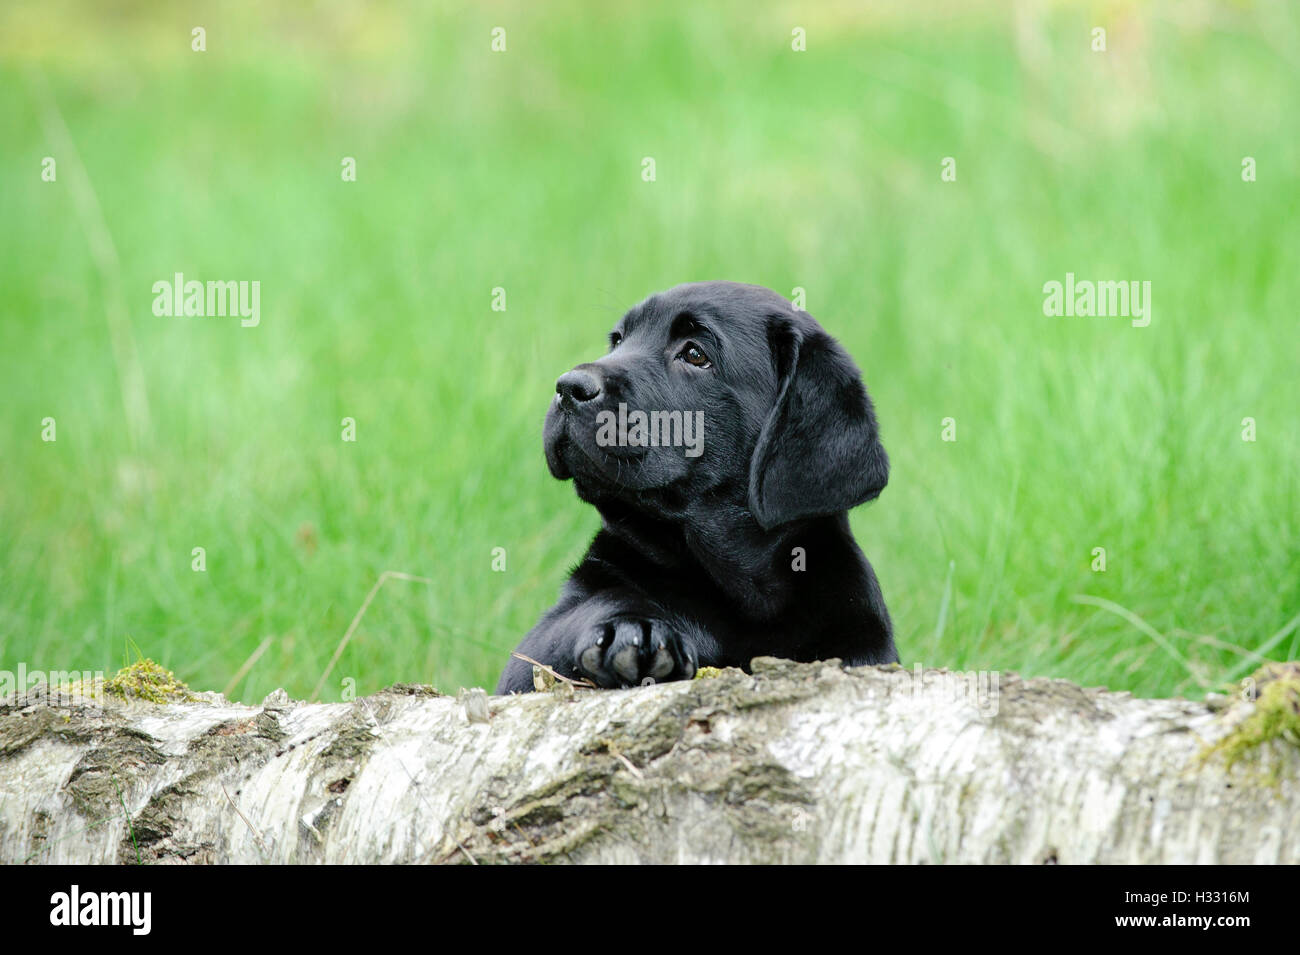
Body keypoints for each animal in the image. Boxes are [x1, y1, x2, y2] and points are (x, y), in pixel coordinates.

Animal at [496, 280, 894, 691]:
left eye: (694, 353)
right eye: (618, 340)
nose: (567, 386)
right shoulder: (532, 654)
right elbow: (596, 605)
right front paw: (631, 631)